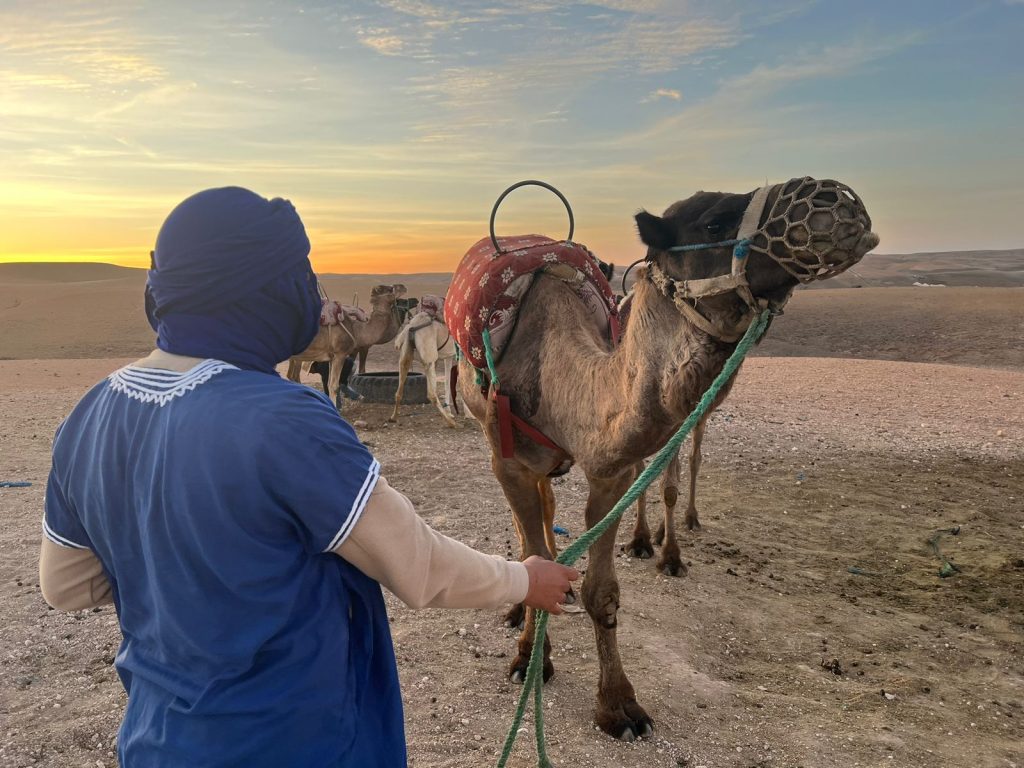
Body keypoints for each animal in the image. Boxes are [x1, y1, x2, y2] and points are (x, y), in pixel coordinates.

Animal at [454, 177, 878, 741]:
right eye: (714, 222)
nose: (834, 198)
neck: (557, 376)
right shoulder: (509, 460)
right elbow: (531, 555)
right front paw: (531, 657)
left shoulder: (611, 471)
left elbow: (603, 591)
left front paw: (618, 704)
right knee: (534, 521)